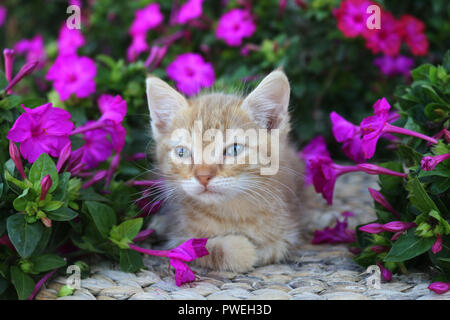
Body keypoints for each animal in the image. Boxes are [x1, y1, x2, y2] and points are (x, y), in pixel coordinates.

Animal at [146, 70, 304, 272]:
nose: (203, 176)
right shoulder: (179, 238)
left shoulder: (287, 233)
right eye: (182, 152)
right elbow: (208, 248)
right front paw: (243, 249)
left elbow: (273, 248)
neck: (231, 213)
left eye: (234, 150)